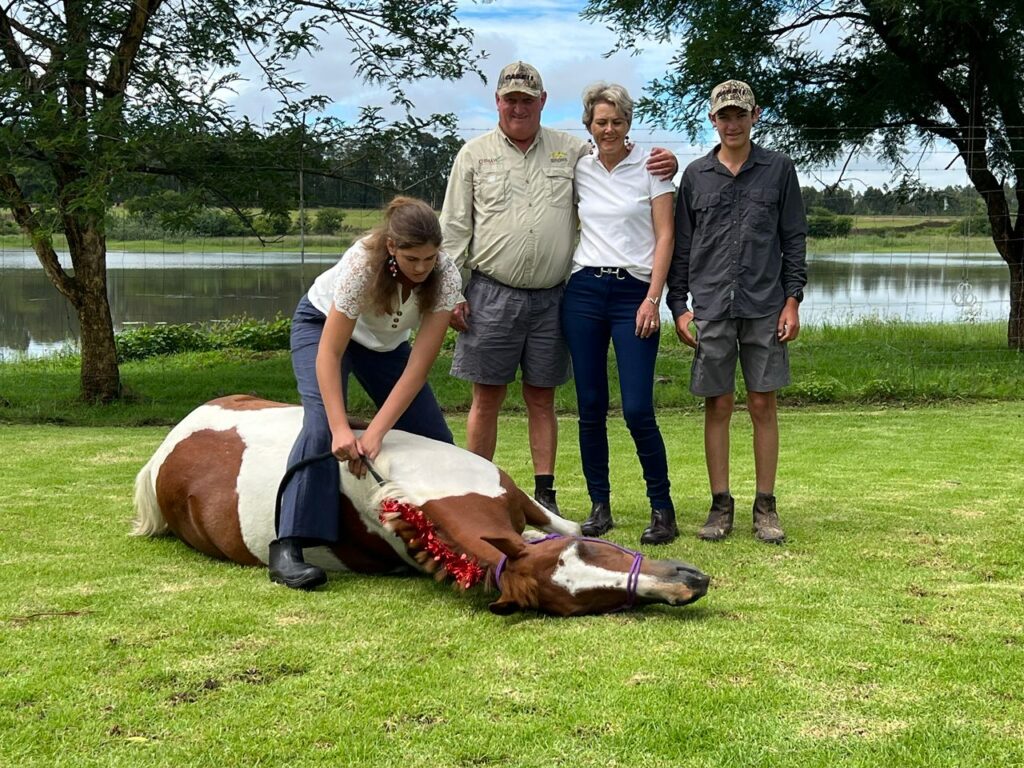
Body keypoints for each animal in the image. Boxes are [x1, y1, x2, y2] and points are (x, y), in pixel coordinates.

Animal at [132, 395, 710, 616]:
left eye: (588, 552)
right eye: (581, 605)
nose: (688, 583)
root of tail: (166, 449)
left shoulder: (517, 496)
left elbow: (554, 518)